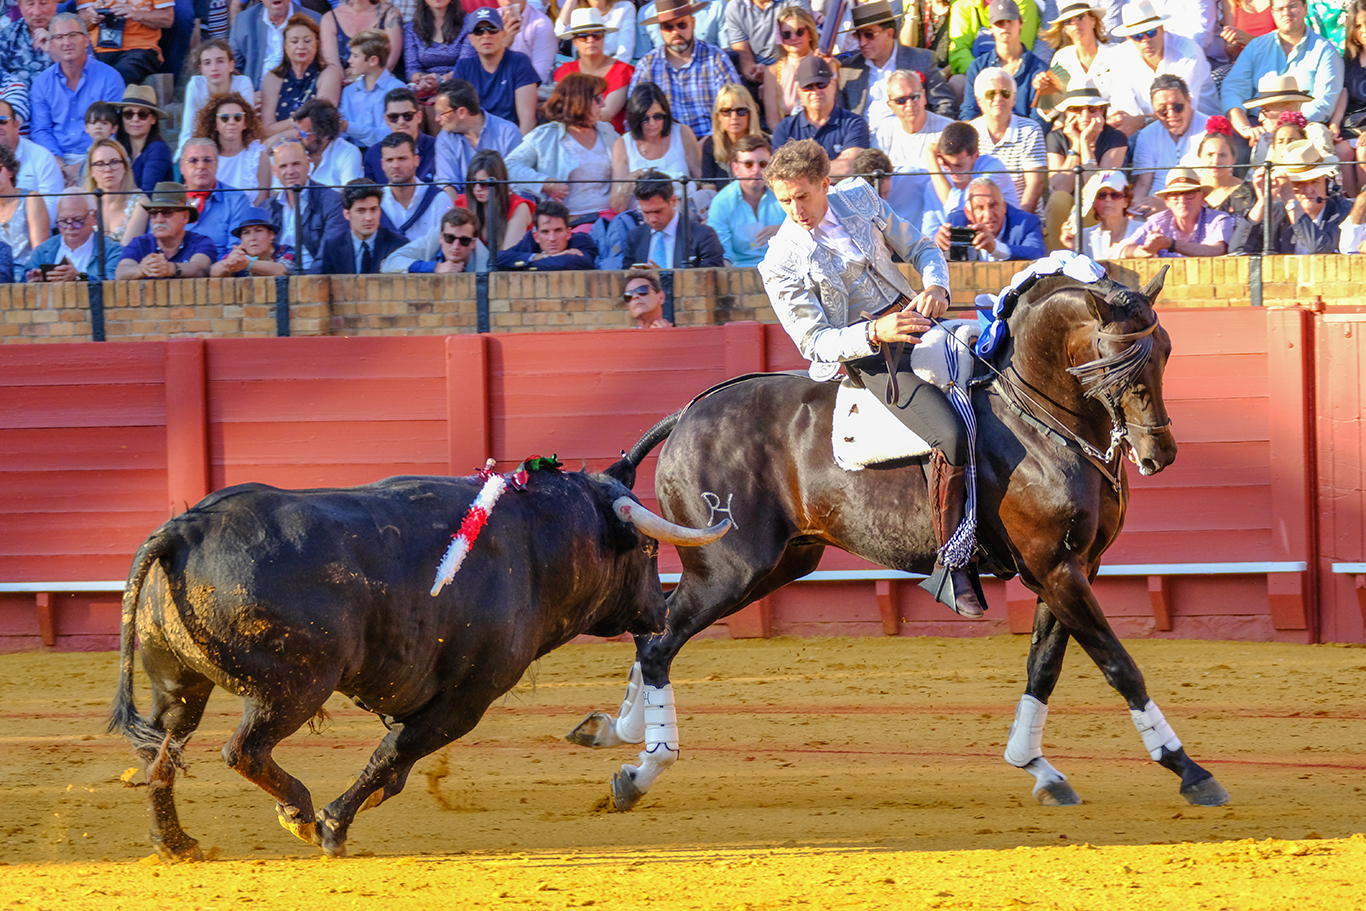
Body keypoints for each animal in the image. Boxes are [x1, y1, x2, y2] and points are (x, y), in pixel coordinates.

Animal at [109, 467, 726, 857]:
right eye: (648, 548)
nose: (659, 612)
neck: (540, 543)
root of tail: (186, 527)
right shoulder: (466, 700)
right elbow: (394, 753)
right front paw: (332, 827)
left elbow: (397, 764)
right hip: (296, 687)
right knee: (243, 749)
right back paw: (300, 812)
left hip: (178, 684)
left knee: (161, 753)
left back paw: (177, 845)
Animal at [570, 263, 1234, 814]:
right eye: (1111, 362)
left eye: (1165, 352)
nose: (1158, 454)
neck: (1037, 422)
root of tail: (686, 414)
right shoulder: (1055, 568)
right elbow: (1120, 665)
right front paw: (1189, 769)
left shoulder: (1072, 568)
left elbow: (1043, 665)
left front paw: (1037, 767)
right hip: (728, 567)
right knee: (660, 643)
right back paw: (641, 769)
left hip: (779, 563)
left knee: (652, 630)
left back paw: (616, 729)